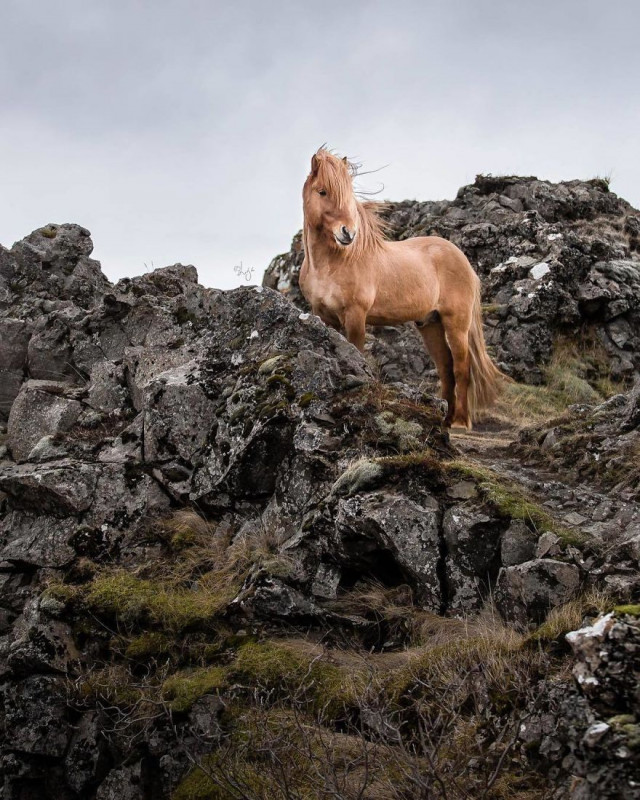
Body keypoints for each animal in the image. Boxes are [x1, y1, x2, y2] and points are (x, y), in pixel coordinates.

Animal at [298, 146, 504, 428]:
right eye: (322, 191)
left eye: (347, 194)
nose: (348, 233)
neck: (332, 264)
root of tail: (463, 260)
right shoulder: (323, 314)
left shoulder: (355, 316)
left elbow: (357, 352)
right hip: (430, 323)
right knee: (445, 367)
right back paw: (445, 419)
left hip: (456, 323)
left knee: (461, 367)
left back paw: (460, 422)